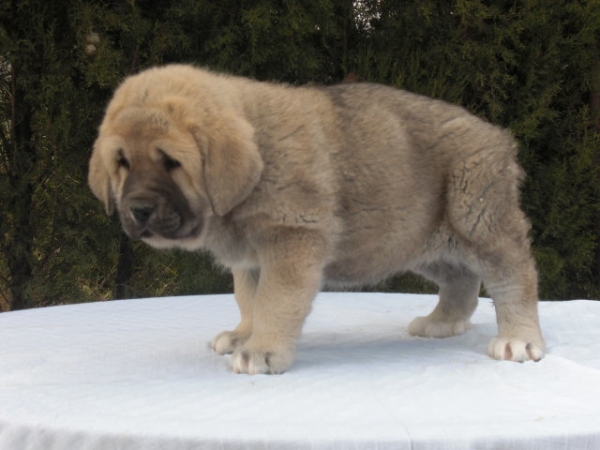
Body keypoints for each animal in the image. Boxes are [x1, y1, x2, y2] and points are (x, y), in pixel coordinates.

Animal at [88, 63, 544, 372]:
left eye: (171, 162)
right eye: (122, 162)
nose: (139, 210)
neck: (256, 165)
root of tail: (496, 135)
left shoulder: (290, 239)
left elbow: (274, 301)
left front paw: (261, 350)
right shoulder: (252, 258)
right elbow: (248, 298)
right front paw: (243, 333)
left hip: (479, 219)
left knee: (514, 276)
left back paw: (518, 339)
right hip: (418, 237)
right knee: (461, 280)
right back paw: (443, 322)